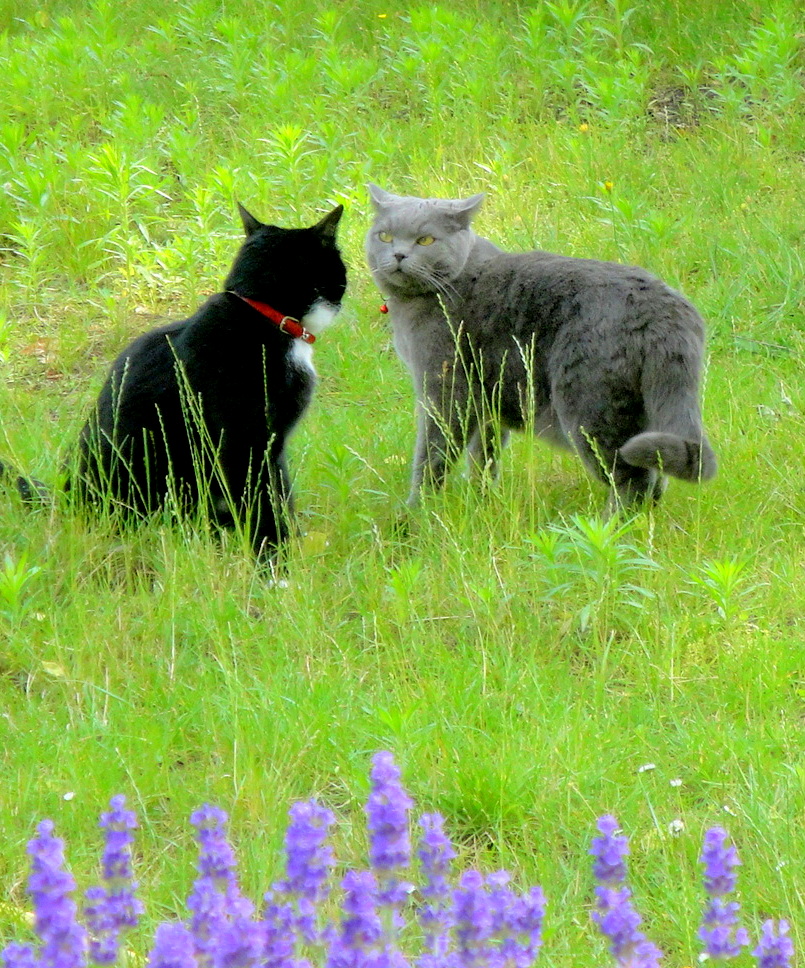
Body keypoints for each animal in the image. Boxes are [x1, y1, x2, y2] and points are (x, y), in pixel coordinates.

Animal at [366, 184, 716, 510]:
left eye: (425, 240)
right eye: (385, 236)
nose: (398, 255)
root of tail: (664, 308)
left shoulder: (447, 387)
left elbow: (433, 455)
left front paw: (417, 512)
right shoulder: (491, 397)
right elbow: (484, 455)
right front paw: (484, 502)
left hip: (589, 408)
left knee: (633, 480)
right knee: (655, 478)